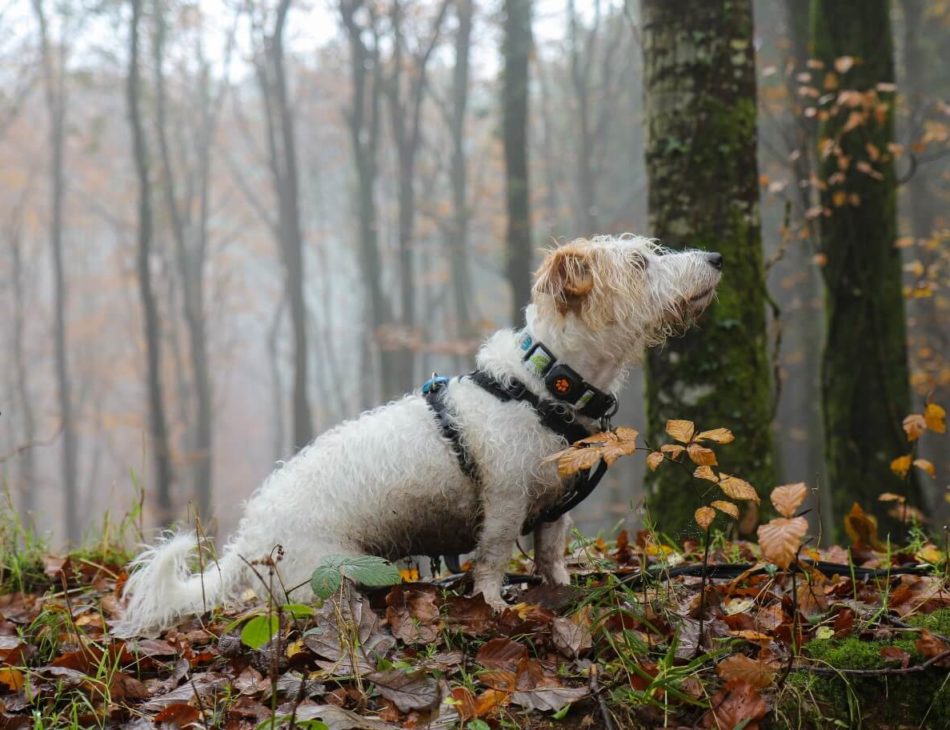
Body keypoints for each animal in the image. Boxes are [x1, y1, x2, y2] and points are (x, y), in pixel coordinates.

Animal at [117, 236, 720, 636]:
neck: (545, 386)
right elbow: (493, 558)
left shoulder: (553, 511)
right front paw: (495, 606)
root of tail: (250, 538)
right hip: (326, 578)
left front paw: (561, 590)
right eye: (641, 262)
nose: (715, 258)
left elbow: (550, 557)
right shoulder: (504, 502)